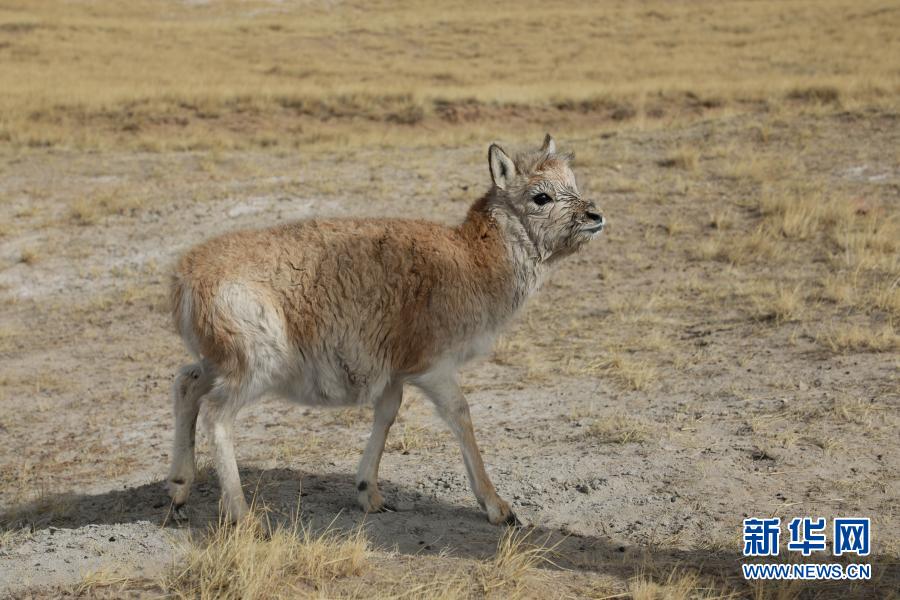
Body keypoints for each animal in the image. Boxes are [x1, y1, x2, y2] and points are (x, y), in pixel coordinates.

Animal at [166, 135, 605, 526]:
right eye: (541, 196)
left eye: (573, 183)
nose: (596, 216)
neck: (471, 257)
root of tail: (186, 276)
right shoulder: (434, 368)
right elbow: (460, 415)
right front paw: (497, 506)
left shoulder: (395, 373)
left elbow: (387, 415)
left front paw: (369, 493)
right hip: (255, 369)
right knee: (217, 415)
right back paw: (241, 513)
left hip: (220, 362)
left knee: (186, 383)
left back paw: (179, 487)